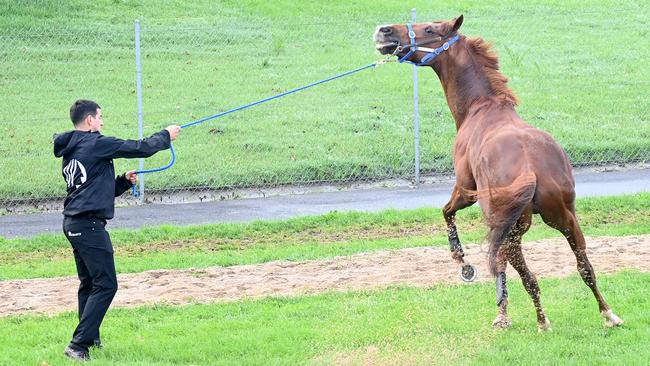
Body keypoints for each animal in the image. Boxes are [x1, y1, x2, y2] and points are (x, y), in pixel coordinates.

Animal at [374, 14, 624, 330]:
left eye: (430, 28)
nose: (384, 31)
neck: (481, 108)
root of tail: (531, 168)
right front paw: (501, 310)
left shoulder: (466, 190)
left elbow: (447, 213)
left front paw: (466, 267)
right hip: (565, 218)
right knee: (585, 267)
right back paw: (608, 314)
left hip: (513, 228)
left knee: (527, 275)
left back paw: (542, 321)